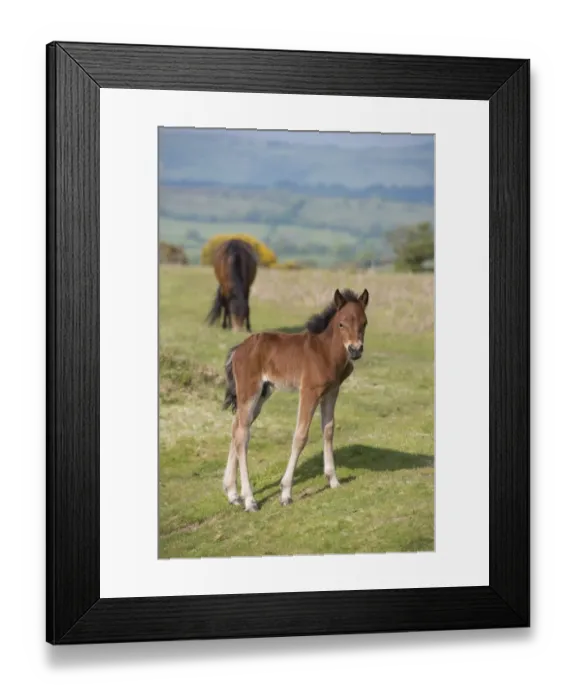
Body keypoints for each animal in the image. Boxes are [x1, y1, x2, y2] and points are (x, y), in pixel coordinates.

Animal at [220, 287, 369, 512]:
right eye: (341, 323)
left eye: (364, 323)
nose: (355, 350)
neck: (325, 352)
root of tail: (238, 349)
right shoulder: (308, 391)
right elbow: (300, 436)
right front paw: (285, 493)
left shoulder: (332, 391)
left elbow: (328, 430)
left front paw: (333, 480)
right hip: (250, 392)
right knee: (242, 435)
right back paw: (250, 500)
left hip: (262, 393)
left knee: (236, 426)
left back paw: (232, 494)